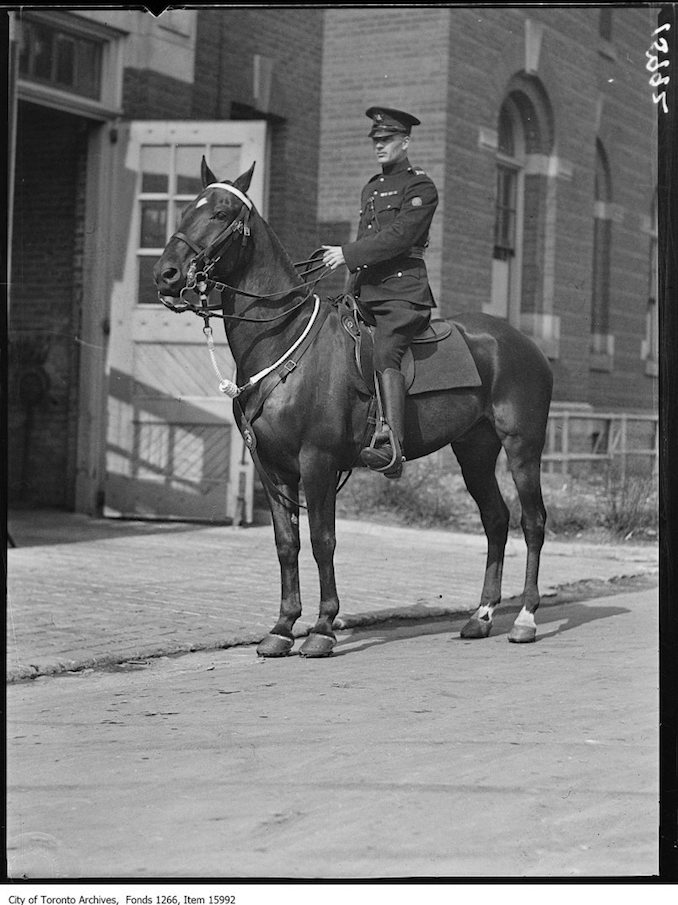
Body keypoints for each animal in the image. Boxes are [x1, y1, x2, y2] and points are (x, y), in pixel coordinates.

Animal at [155, 161, 556, 656]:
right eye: (187, 208)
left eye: (222, 213)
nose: (167, 274)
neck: (283, 341)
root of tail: (525, 344)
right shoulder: (273, 468)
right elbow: (286, 544)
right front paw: (282, 626)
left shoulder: (318, 462)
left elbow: (322, 540)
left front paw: (323, 627)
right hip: (474, 451)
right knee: (496, 520)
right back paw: (481, 616)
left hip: (523, 448)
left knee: (533, 522)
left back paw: (525, 618)